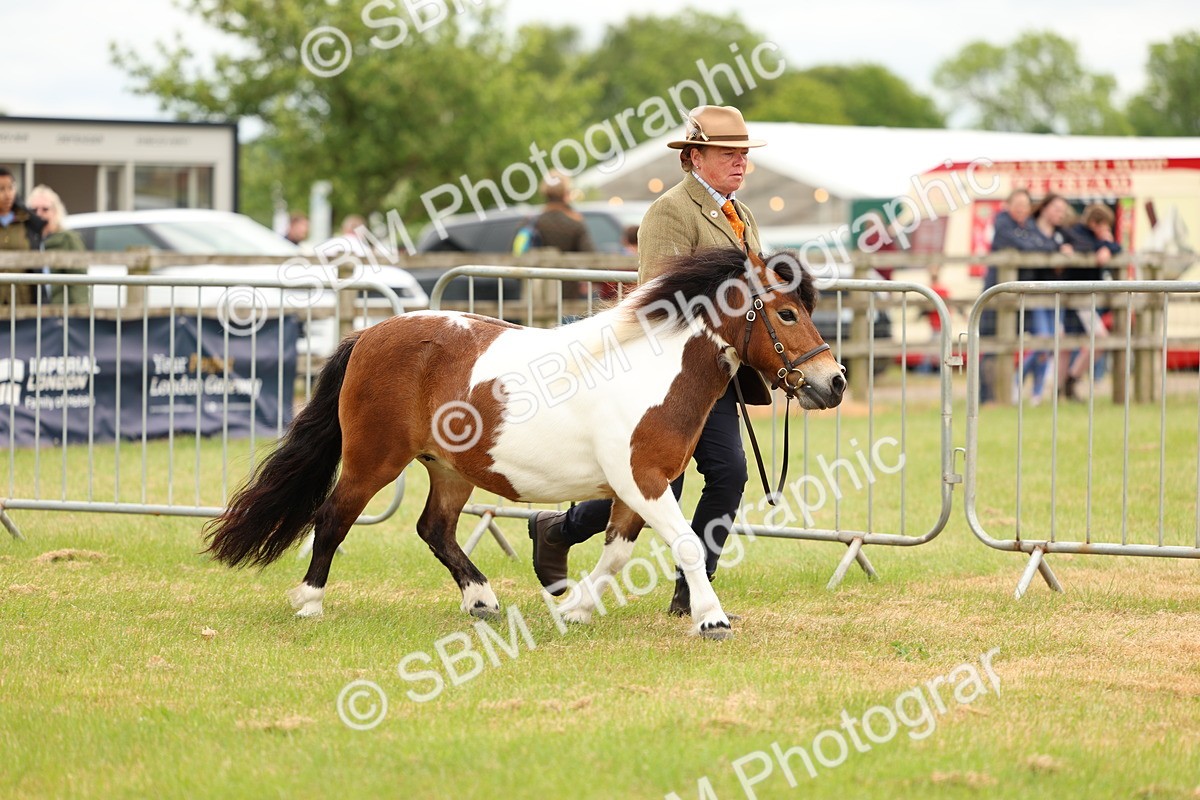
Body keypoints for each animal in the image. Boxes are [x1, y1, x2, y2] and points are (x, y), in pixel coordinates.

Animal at [203, 246, 846, 639]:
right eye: (787, 313)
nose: (833, 382)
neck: (650, 368)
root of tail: (370, 333)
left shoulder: (636, 486)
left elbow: (615, 552)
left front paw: (576, 607)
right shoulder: (643, 480)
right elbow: (687, 543)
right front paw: (711, 620)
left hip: (449, 468)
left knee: (434, 528)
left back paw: (482, 600)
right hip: (373, 460)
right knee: (333, 517)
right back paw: (309, 602)